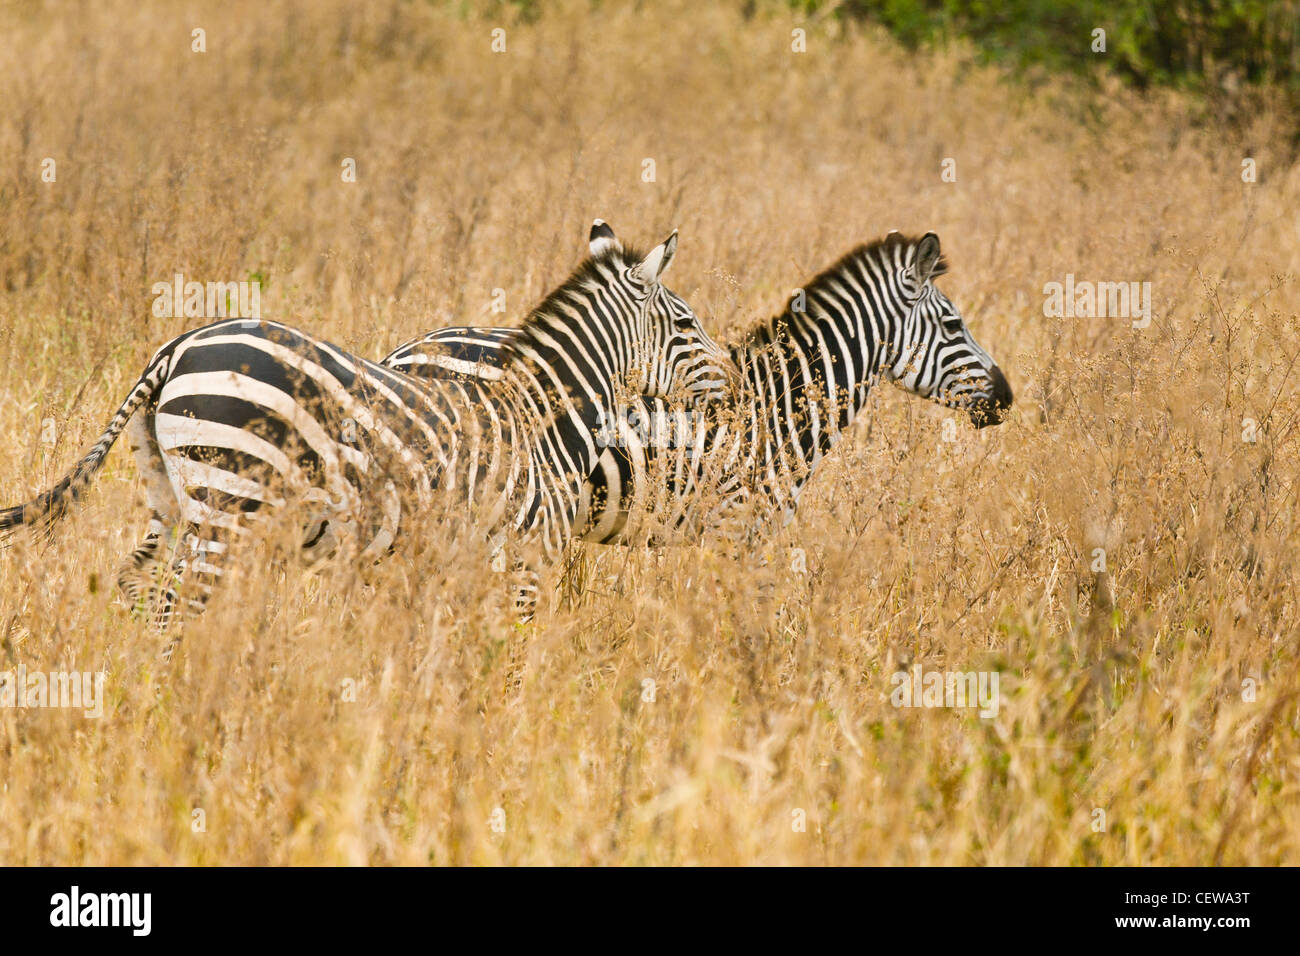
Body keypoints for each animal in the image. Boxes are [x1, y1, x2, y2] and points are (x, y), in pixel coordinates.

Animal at [0, 223, 738, 629]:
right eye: (685, 324)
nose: (734, 391)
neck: (542, 416)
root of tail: (177, 347)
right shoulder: (522, 560)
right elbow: (505, 662)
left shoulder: (447, 563)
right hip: (228, 502)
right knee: (175, 605)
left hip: (169, 494)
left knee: (136, 588)